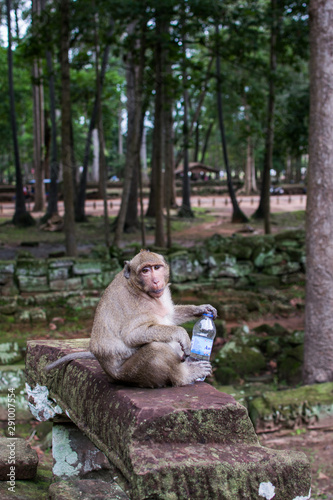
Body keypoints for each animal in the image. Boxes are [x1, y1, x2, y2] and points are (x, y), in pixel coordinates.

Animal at [45, 250, 217, 390]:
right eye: (145, 271)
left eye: (156, 268)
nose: (156, 281)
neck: (140, 289)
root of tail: (111, 375)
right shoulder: (137, 307)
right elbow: (132, 335)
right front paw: (181, 334)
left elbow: (171, 315)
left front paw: (202, 309)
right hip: (130, 374)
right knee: (156, 349)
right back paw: (186, 375)